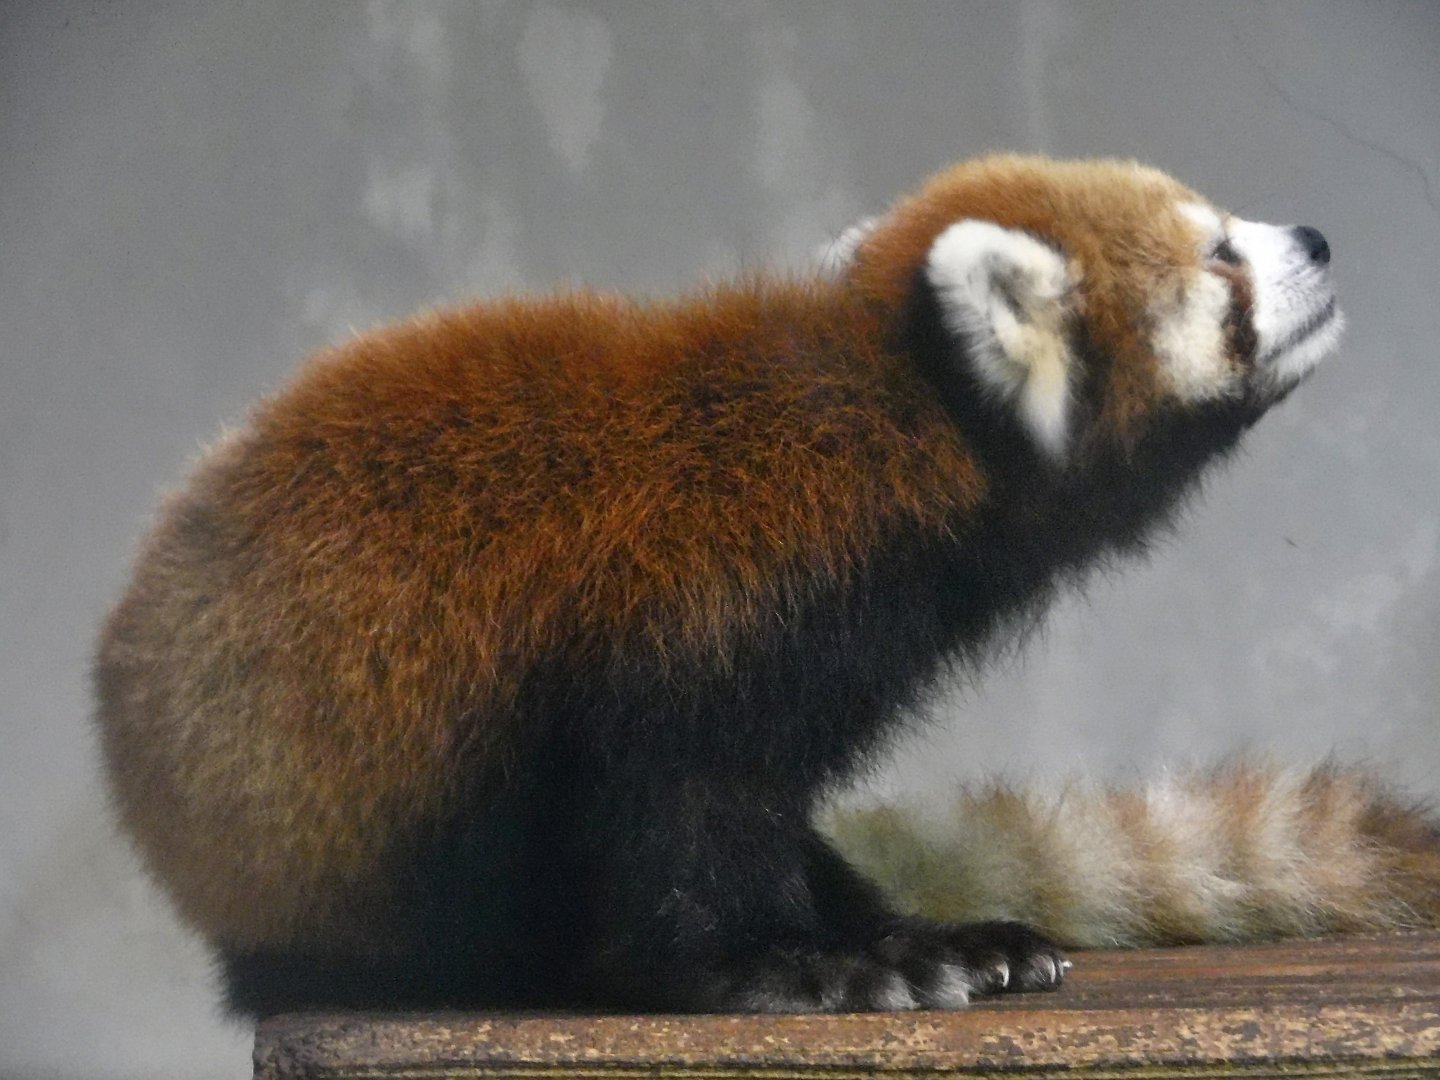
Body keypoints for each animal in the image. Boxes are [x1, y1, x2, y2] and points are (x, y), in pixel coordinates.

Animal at [96, 155, 1352, 1016]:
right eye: (1221, 256)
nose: (1318, 238)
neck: (897, 427)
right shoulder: (706, 607)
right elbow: (676, 811)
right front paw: (796, 967)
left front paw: (922, 936)